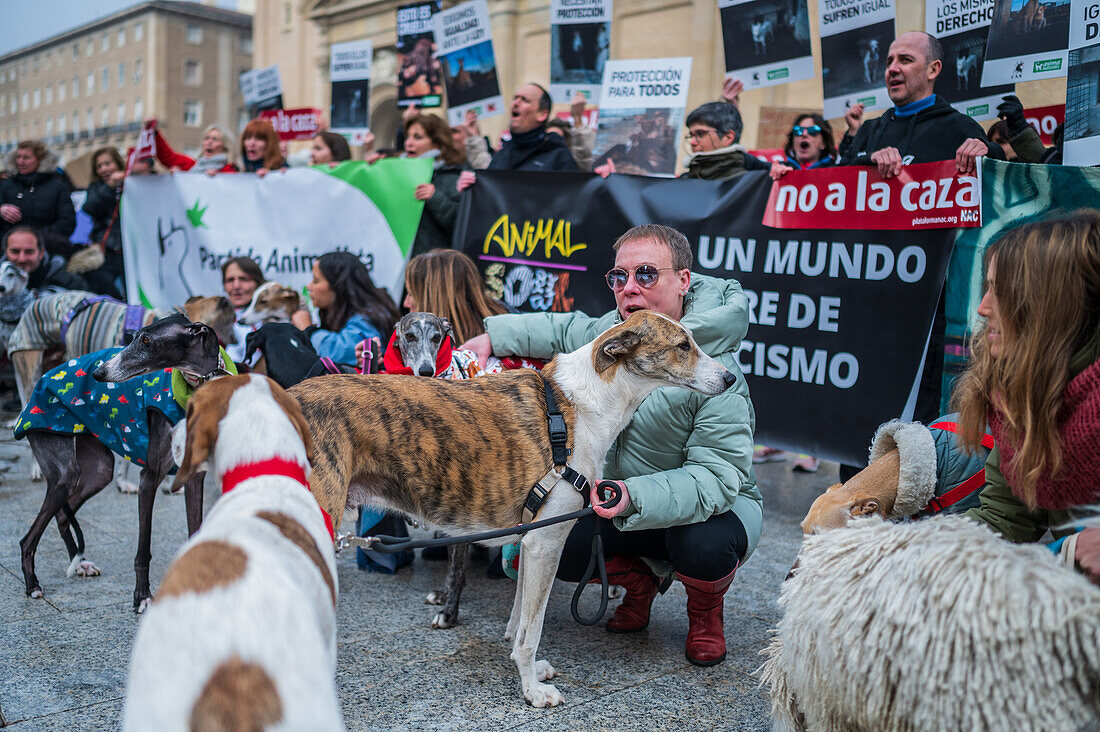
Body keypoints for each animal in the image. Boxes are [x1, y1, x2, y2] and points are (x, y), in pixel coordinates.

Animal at [292, 310, 739, 708]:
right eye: (682, 346)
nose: (731, 378)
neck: (585, 405)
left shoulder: (531, 540)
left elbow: (520, 616)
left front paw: (528, 670)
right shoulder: (547, 542)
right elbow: (530, 631)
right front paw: (532, 691)